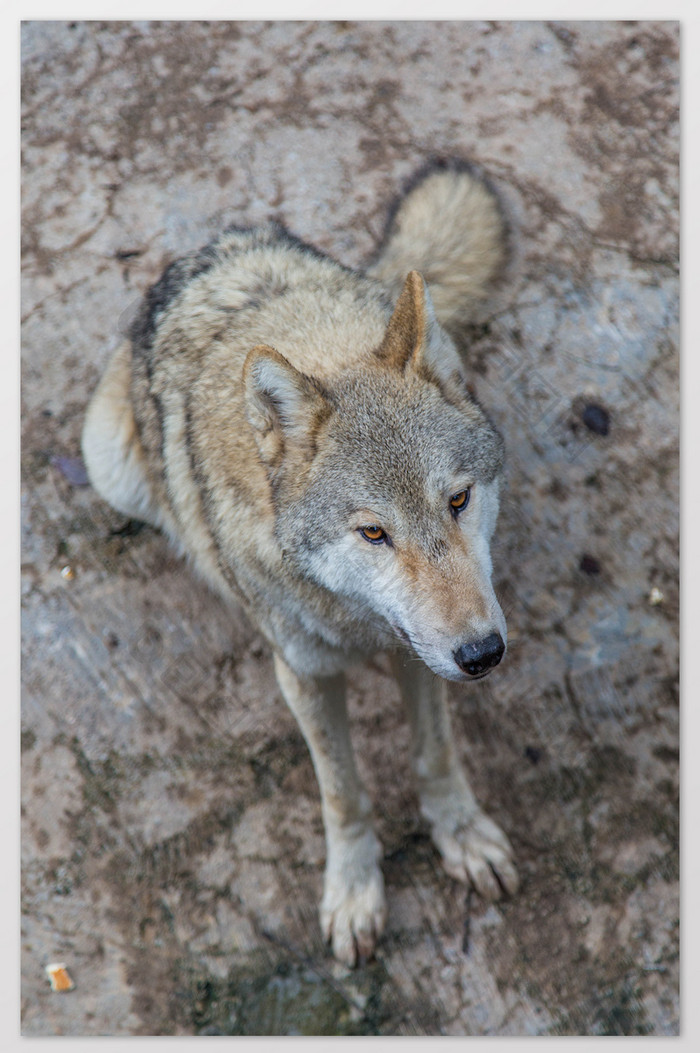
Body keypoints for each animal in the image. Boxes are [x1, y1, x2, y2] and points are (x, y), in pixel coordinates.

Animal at [82, 160, 517, 964]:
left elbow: (435, 754)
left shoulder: (419, 654)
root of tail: (208, 246)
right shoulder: (306, 675)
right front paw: (353, 892)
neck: (357, 625)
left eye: (459, 499)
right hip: (108, 464)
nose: (482, 653)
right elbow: (344, 793)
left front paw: (462, 834)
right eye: (373, 533)